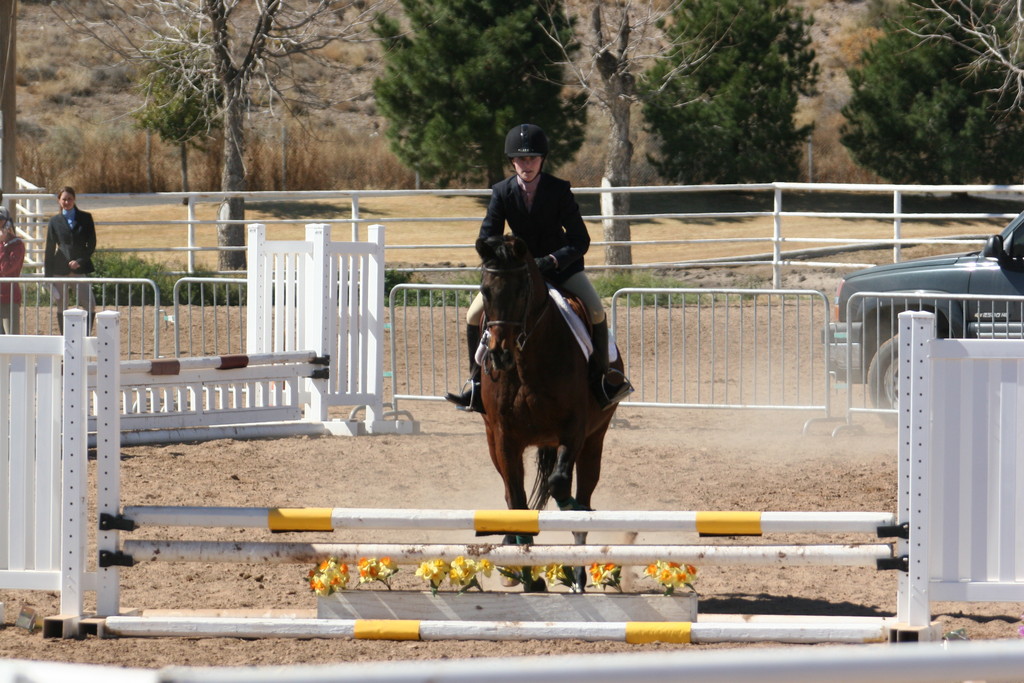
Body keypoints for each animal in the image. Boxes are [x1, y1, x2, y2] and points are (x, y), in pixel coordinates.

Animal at [475, 233, 618, 589]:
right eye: (485, 290)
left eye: (521, 291)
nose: (498, 356)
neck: (527, 363)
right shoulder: (504, 438)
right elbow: (517, 502)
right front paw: (527, 578)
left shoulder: (574, 431)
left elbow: (559, 484)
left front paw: (571, 509)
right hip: (493, 441)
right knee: (512, 496)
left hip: (595, 439)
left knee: (582, 489)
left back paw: (578, 565)